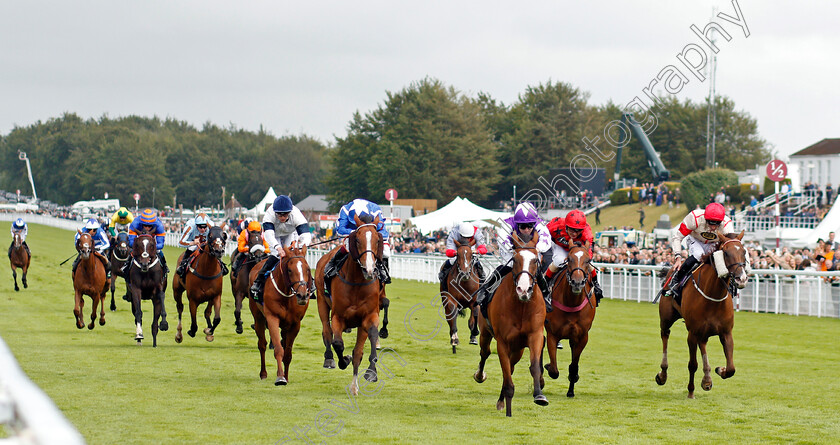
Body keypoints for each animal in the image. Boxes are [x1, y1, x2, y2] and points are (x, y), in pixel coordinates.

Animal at [251, 243, 316, 386]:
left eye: (308, 269)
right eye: (290, 270)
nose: (302, 295)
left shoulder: (295, 324)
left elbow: (288, 353)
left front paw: (285, 376)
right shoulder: (272, 318)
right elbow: (278, 349)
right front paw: (280, 377)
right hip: (258, 317)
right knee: (262, 344)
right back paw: (263, 373)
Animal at [316, 213, 388, 394]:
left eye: (377, 239)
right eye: (357, 239)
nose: (369, 269)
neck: (356, 284)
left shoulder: (368, 316)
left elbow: (363, 348)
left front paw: (368, 374)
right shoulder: (338, 317)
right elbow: (338, 343)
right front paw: (344, 360)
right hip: (321, 300)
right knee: (327, 331)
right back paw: (329, 359)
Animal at [472, 236, 552, 416]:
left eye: (535, 260)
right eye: (515, 259)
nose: (523, 289)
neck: (521, 306)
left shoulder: (535, 336)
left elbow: (534, 366)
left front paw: (539, 395)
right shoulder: (503, 342)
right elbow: (505, 372)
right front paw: (506, 404)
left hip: (518, 348)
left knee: (511, 365)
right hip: (486, 333)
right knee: (485, 353)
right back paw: (480, 376)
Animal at [544, 245, 596, 398]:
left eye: (588, 260)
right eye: (569, 259)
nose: (577, 283)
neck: (572, 302)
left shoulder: (582, 337)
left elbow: (573, 366)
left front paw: (571, 389)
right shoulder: (552, 334)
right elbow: (554, 370)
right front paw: (548, 366)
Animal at [656, 231, 748, 398]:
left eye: (744, 252)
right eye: (726, 253)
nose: (741, 278)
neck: (713, 296)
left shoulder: (726, 332)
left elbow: (731, 368)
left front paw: (719, 370)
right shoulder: (692, 333)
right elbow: (692, 365)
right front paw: (691, 391)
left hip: (704, 332)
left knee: (703, 345)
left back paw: (707, 378)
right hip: (667, 319)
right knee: (665, 335)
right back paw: (663, 374)